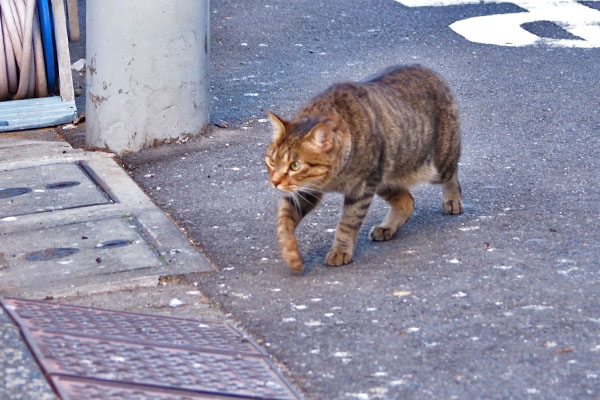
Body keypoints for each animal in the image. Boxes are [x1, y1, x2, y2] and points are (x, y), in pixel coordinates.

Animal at [264, 65, 464, 274]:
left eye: (295, 165)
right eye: (271, 161)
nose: (274, 182)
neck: (332, 178)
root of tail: (428, 70)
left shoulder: (360, 190)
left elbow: (347, 224)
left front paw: (340, 251)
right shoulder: (307, 190)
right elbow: (284, 220)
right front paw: (291, 255)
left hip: (436, 163)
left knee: (452, 175)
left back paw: (452, 201)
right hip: (383, 178)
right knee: (407, 201)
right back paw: (387, 228)